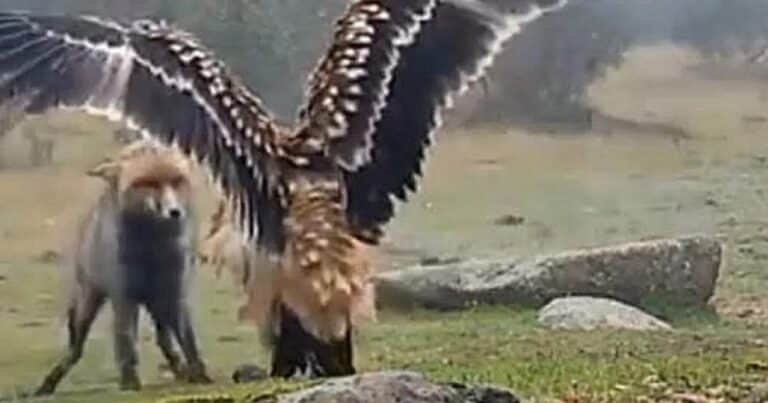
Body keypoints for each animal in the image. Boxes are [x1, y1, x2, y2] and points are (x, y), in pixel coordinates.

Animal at [36, 140, 212, 395]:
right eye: (148, 183)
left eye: (177, 181)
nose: (174, 212)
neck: (151, 251)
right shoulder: (124, 294)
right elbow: (126, 340)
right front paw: (129, 382)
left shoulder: (175, 291)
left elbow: (188, 339)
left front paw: (199, 374)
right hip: (89, 303)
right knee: (75, 349)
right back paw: (49, 382)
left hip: (157, 304)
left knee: (163, 339)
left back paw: (180, 370)